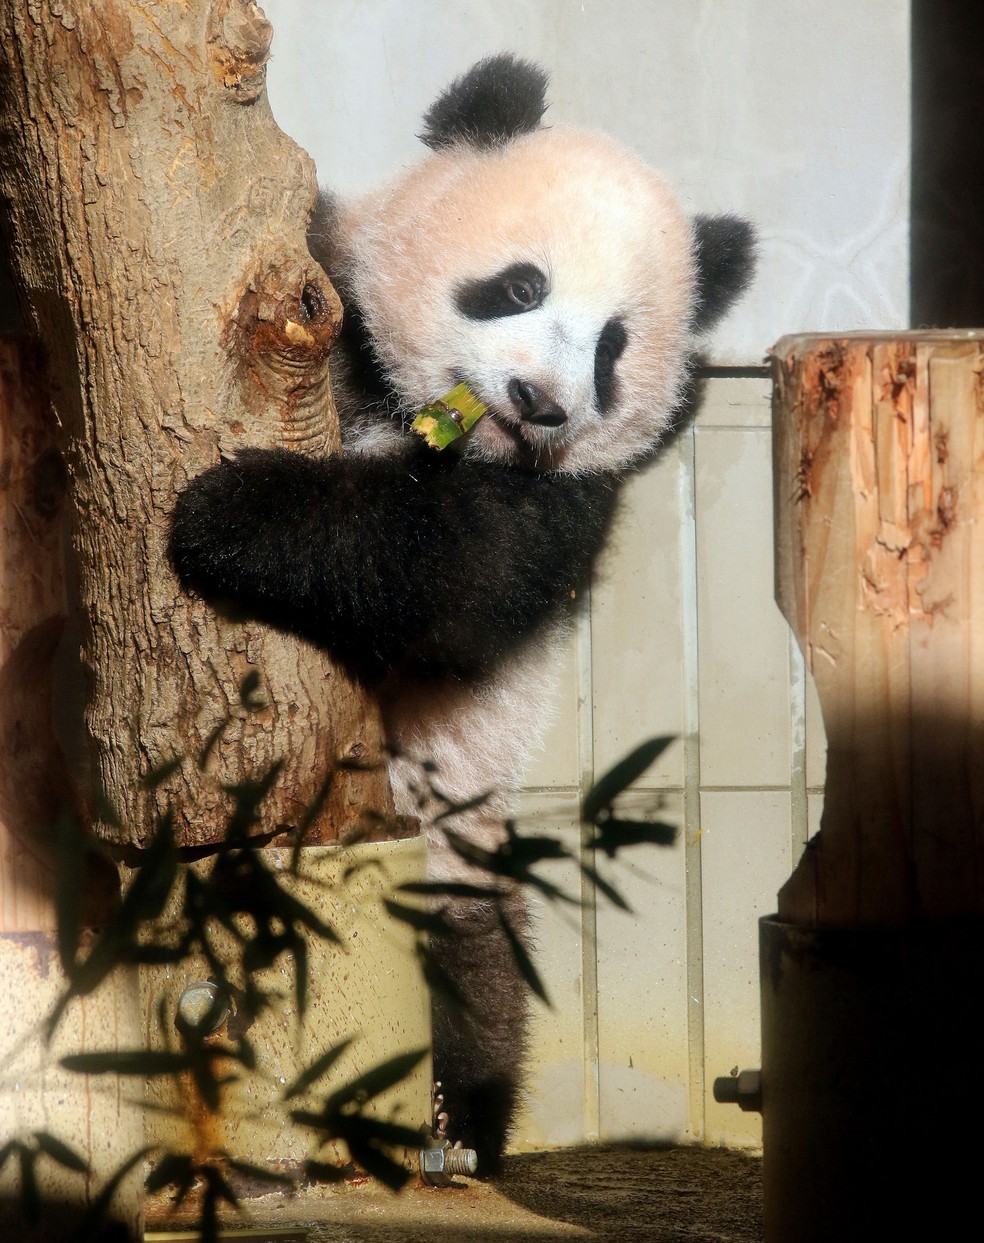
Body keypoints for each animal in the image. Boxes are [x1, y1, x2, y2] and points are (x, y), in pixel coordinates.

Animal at [170, 54, 754, 1174]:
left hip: (447, 844)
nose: (539, 400)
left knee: (473, 975)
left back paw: (452, 1122)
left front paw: (232, 513)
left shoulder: (569, 500)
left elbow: (457, 573)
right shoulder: (327, 295)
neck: (425, 420)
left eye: (615, 346)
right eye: (520, 285)